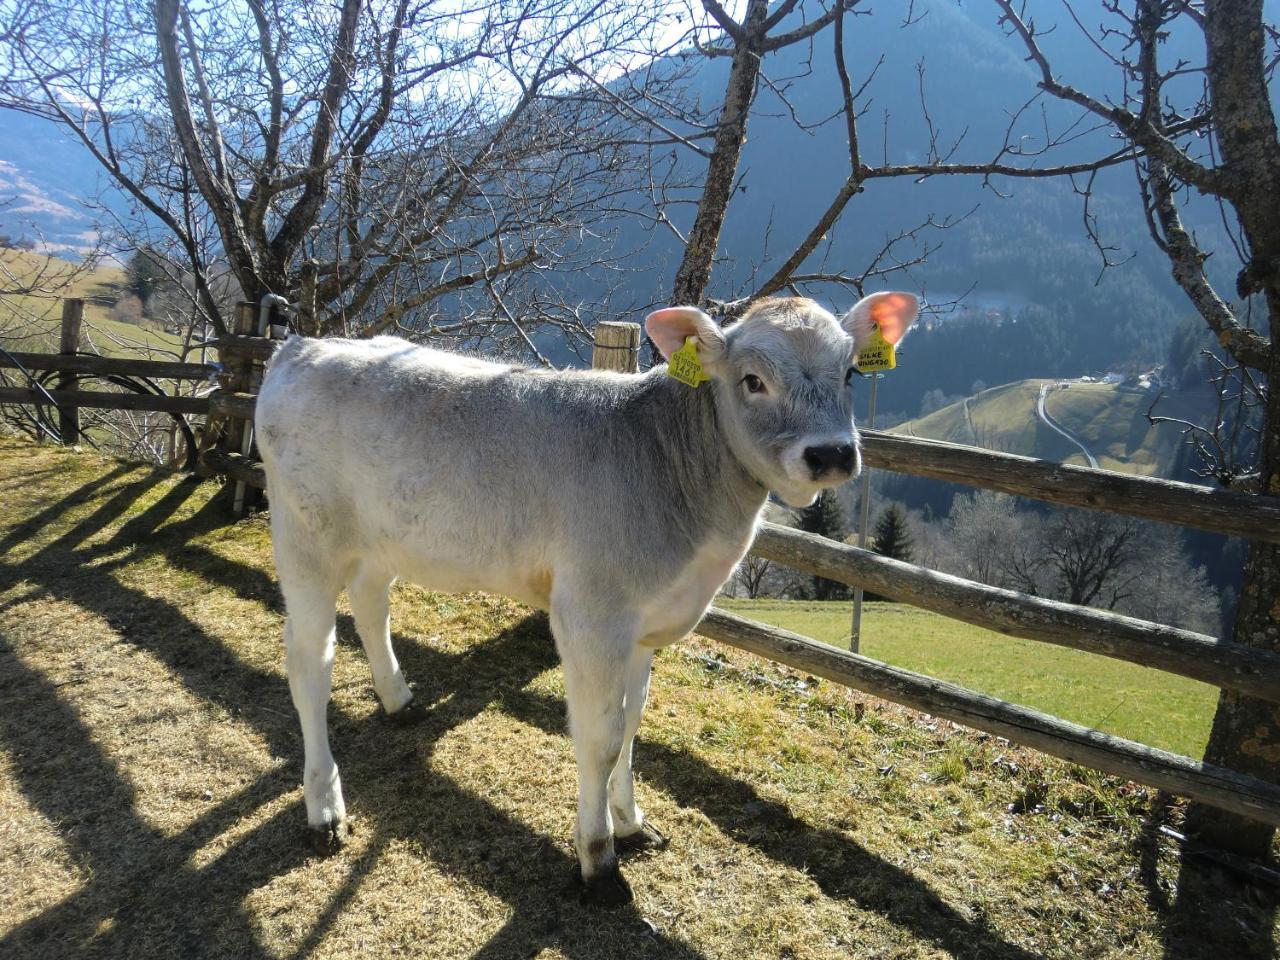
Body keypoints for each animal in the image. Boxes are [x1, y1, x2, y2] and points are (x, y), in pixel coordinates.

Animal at [254, 289, 921, 906]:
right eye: (753, 380)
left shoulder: (648, 621)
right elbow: (600, 737)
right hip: (306, 538)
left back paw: (399, 700)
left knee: (371, 603)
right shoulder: (592, 614)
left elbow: (633, 723)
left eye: (850, 373)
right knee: (310, 664)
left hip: (382, 539)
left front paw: (632, 823)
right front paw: (598, 857)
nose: (831, 454)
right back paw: (325, 808)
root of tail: (304, 346)